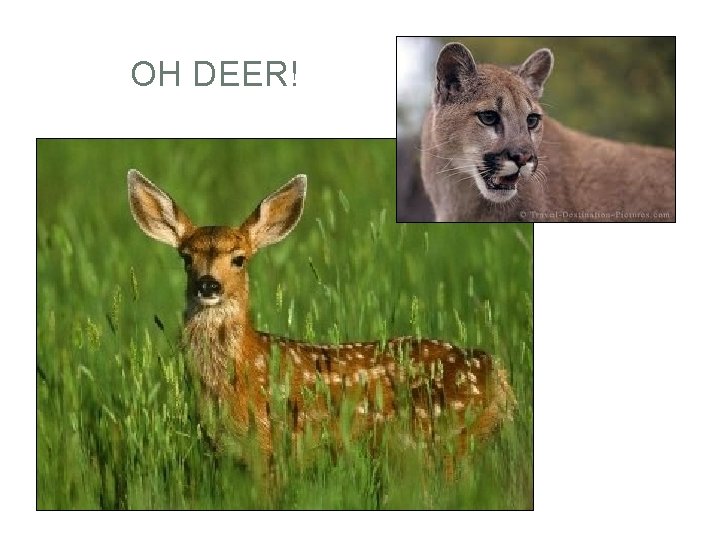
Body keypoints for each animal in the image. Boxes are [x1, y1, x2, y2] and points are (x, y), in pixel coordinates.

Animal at [127, 169, 516, 465]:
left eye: (239, 258)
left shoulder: (269, 446)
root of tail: (496, 372)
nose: (208, 285)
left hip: (441, 436)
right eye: (186, 257)